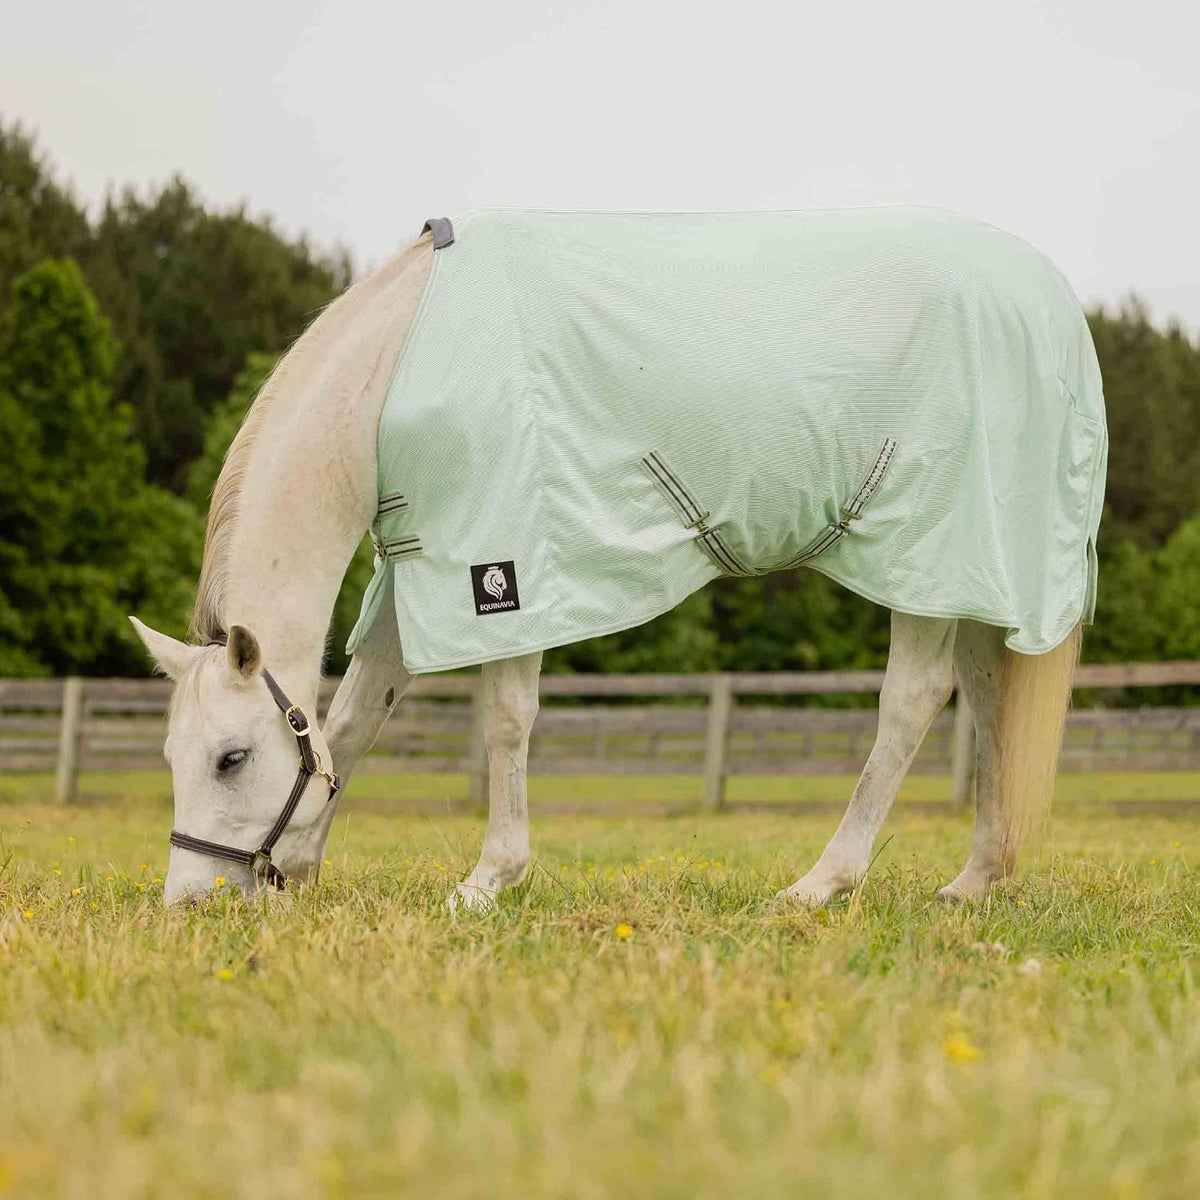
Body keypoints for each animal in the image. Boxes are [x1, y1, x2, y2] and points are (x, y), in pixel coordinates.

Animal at [131, 208, 1103, 908]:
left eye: (228, 758)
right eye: (173, 755)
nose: (190, 903)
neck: (399, 366)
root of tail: (1054, 303)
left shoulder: (498, 561)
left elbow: (507, 718)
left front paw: (489, 879)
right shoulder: (417, 562)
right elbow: (356, 719)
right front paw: (303, 863)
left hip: (927, 562)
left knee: (912, 703)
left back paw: (821, 883)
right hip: (977, 577)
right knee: (989, 698)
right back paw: (973, 882)